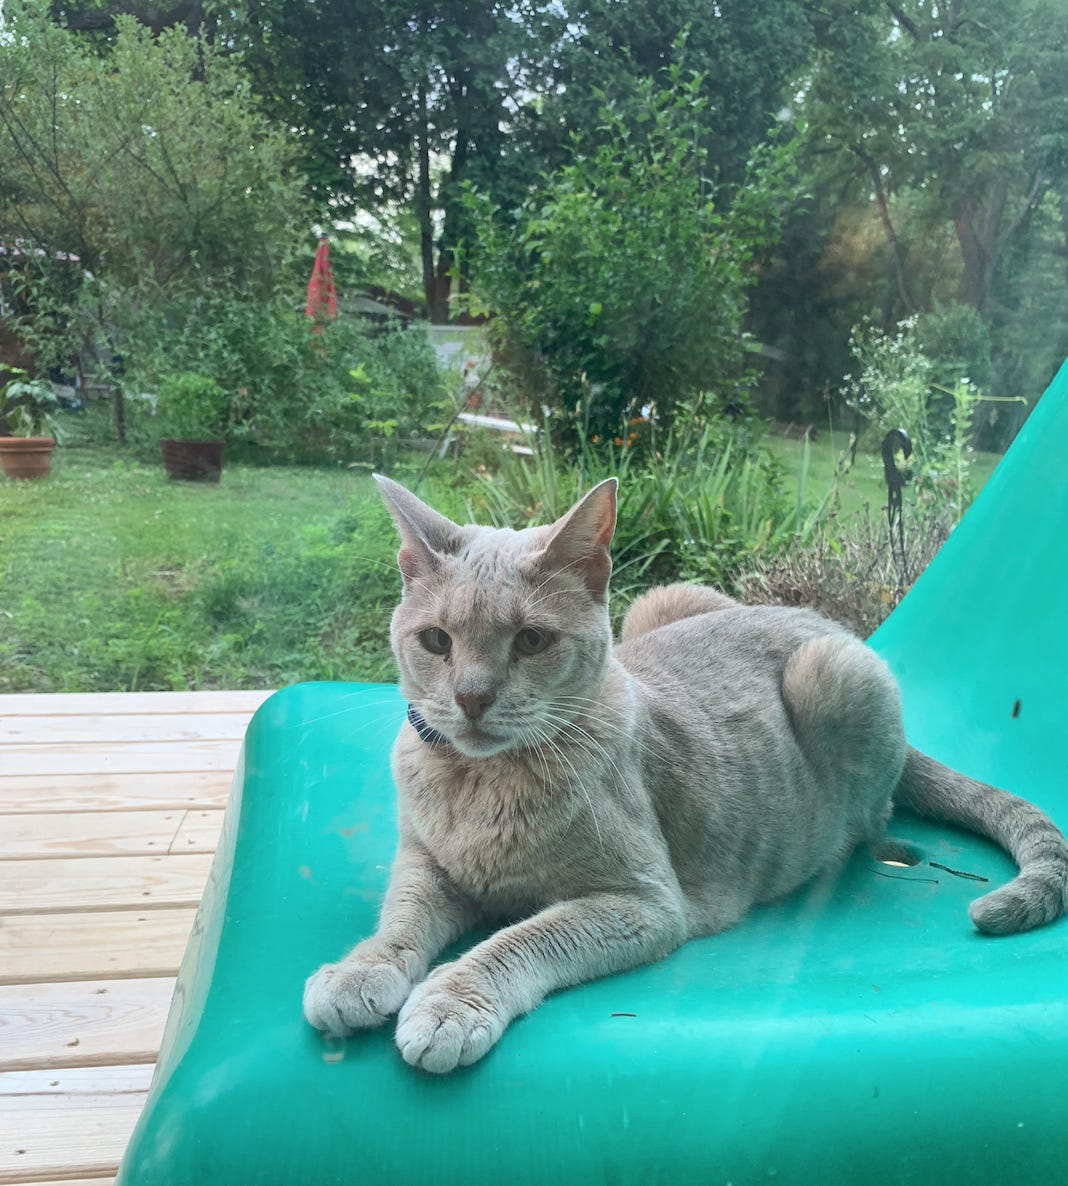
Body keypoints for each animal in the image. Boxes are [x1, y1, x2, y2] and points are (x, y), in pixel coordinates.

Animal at [303, 475, 1068, 1074]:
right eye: (437, 640)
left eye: (531, 640)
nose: (470, 697)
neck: (479, 787)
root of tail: (824, 622)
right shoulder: (427, 862)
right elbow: (402, 916)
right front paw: (360, 970)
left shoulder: (640, 903)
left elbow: (518, 940)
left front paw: (449, 1003)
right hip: (663, 601)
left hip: (833, 675)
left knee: (872, 813)